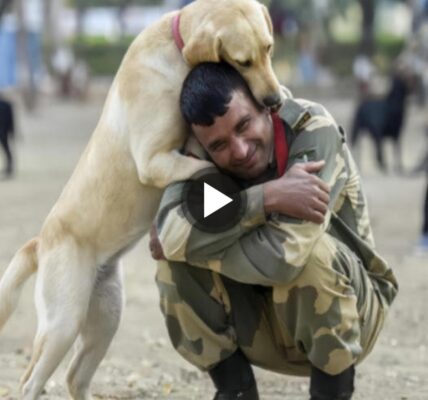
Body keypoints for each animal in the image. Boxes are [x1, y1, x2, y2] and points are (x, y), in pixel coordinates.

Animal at [0, 1, 284, 398]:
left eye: (268, 48)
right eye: (242, 62)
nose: (275, 102)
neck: (175, 51)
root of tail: (41, 242)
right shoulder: (153, 161)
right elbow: (206, 170)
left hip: (106, 317)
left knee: (75, 375)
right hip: (63, 323)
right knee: (30, 383)